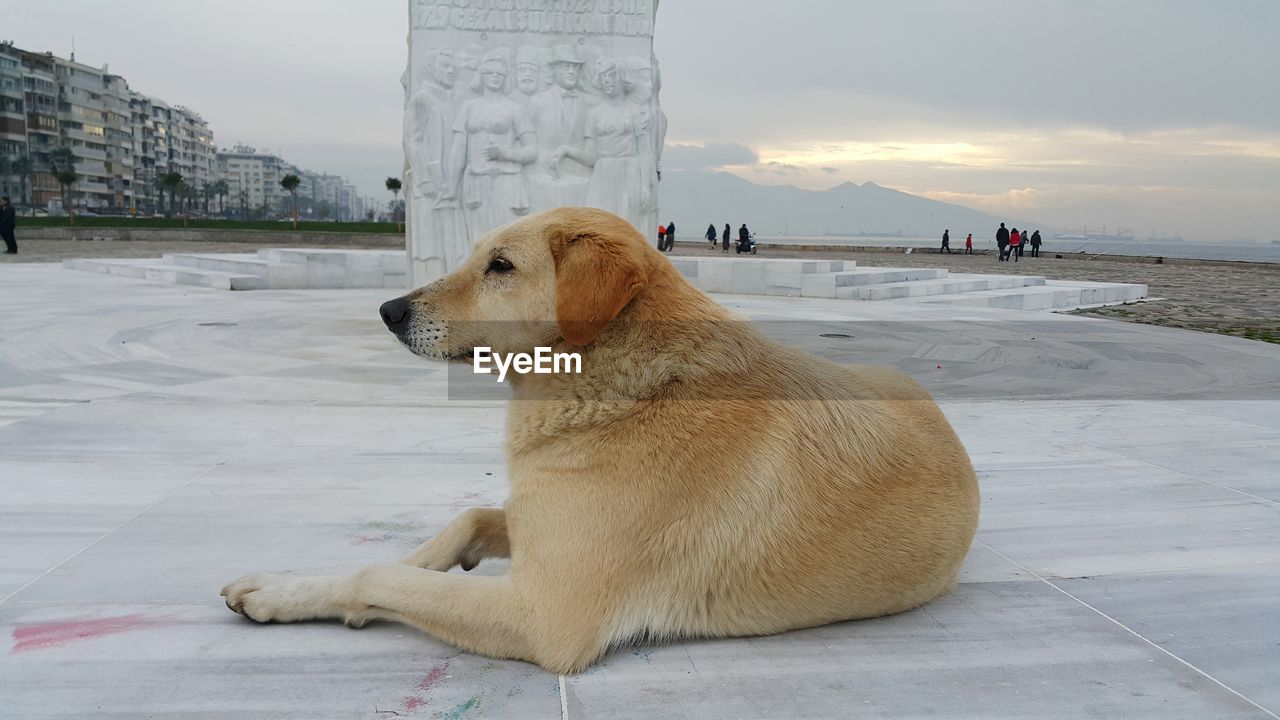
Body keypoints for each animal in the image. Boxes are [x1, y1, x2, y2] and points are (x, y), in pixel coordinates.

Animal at [222, 204, 977, 671]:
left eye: (501, 266)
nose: (387, 309)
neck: (622, 390)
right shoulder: (531, 521)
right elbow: (458, 524)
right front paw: (307, 585)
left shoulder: (544, 616)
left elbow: (376, 574)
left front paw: (297, 595)